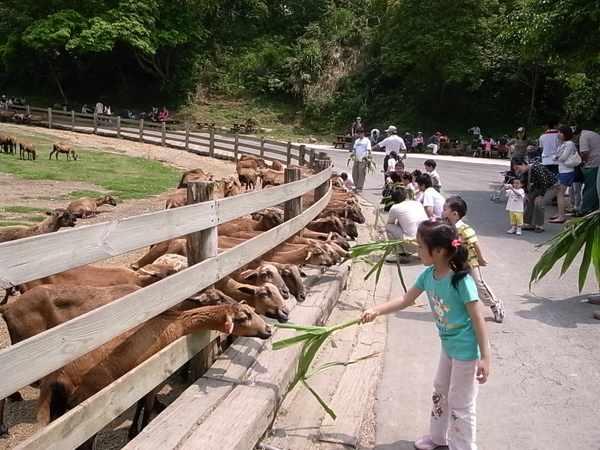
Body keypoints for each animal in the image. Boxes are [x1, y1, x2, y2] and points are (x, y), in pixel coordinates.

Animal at [37, 302, 272, 446]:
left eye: (252, 310)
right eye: (243, 317)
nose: (268, 330)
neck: (175, 322)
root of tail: (52, 379)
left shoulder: (141, 383)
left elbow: (141, 404)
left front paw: (133, 431)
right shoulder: (153, 377)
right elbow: (147, 407)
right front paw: (140, 430)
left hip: (59, 410)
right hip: (83, 414)